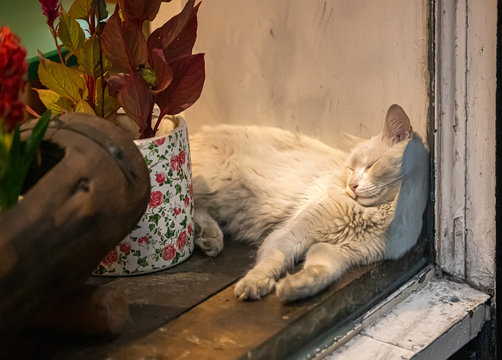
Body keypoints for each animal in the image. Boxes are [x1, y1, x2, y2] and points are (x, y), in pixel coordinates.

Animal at [188, 104, 428, 300]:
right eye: (351, 169)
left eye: (371, 166)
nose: (352, 186)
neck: (378, 215)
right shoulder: (290, 235)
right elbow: (272, 262)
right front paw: (255, 283)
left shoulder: (337, 253)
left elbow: (321, 273)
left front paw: (294, 286)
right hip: (209, 187)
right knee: (192, 208)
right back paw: (211, 238)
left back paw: (208, 239)